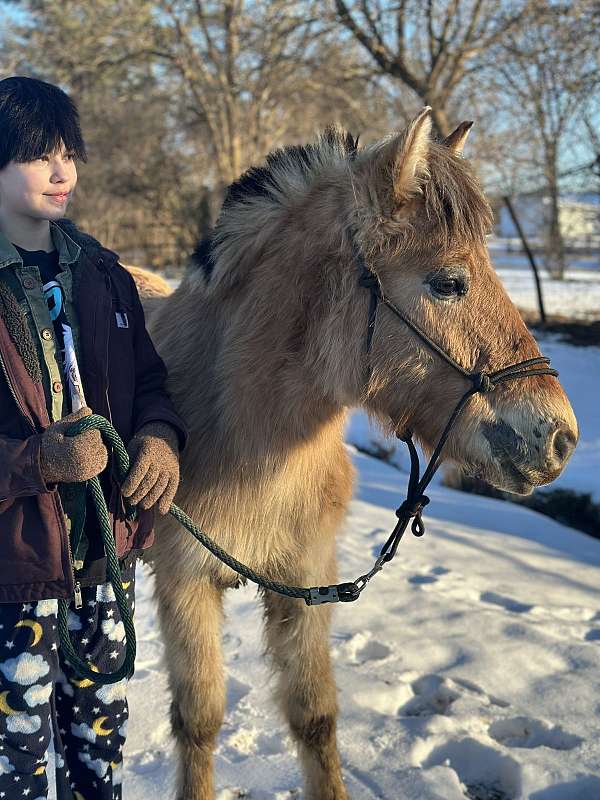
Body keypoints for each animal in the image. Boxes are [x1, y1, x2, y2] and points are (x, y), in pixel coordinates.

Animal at [138, 108, 580, 800]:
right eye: (448, 282)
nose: (561, 437)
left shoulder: (305, 582)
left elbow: (315, 718)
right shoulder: (185, 583)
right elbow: (199, 722)